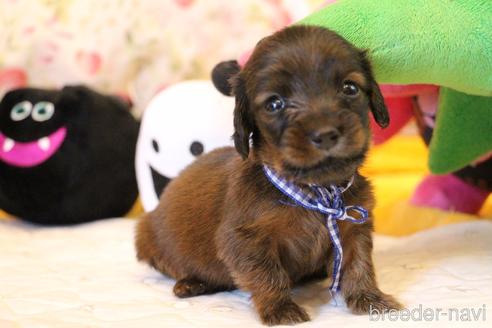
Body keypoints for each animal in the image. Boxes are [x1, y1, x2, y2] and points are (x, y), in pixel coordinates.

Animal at [136, 25, 402, 326]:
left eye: (349, 88)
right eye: (274, 104)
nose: (325, 134)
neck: (315, 192)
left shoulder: (353, 228)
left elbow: (358, 263)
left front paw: (369, 299)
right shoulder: (245, 240)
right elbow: (267, 274)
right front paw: (280, 308)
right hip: (146, 237)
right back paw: (192, 282)